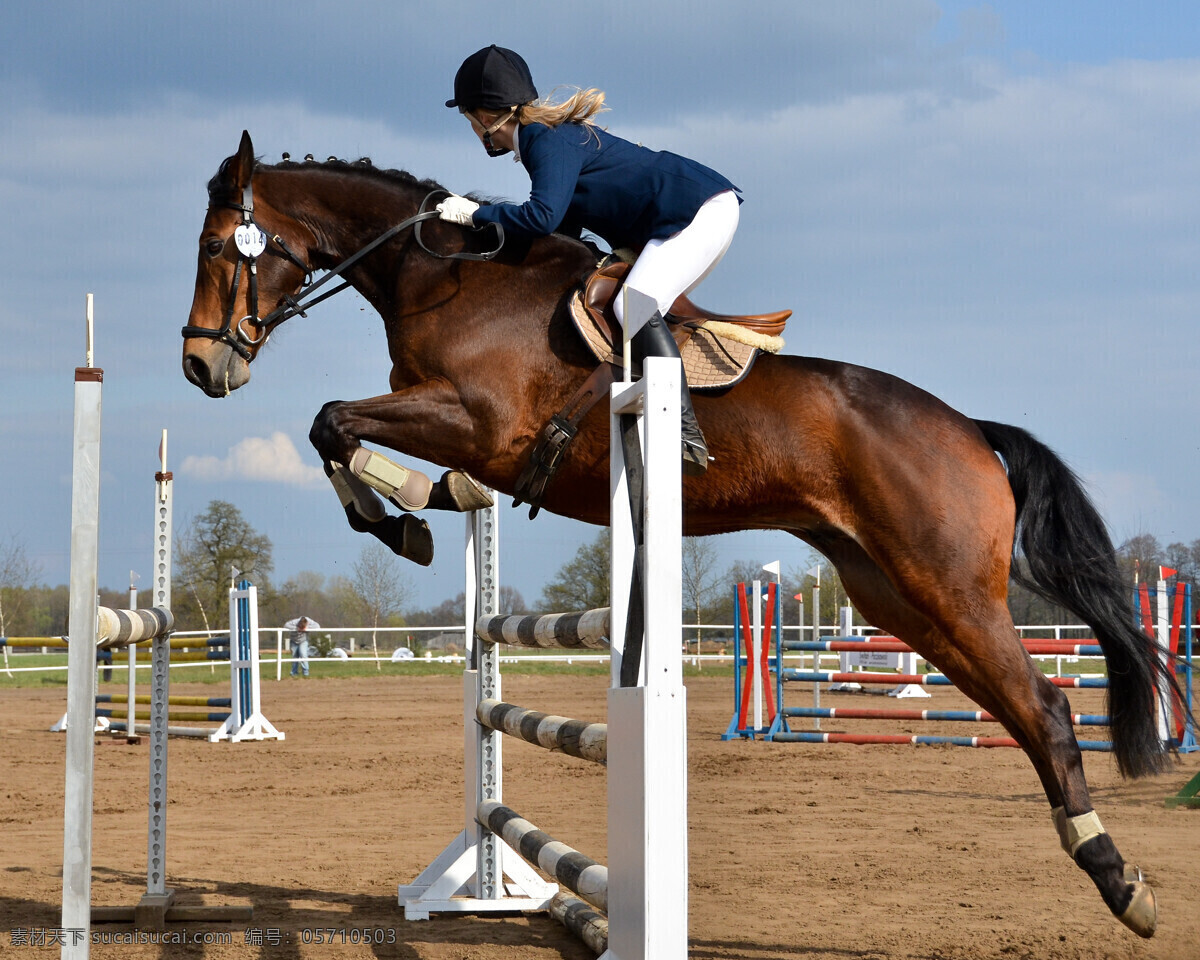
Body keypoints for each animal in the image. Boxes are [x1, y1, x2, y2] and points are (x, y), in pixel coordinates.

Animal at [184, 131, 1180, 936]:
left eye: (215, 247)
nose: (200, 366)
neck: (445, 280)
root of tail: (971, 428)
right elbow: (337, 430)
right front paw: (416, 512)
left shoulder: (478, 422)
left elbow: (332, 421)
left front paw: (400, 521)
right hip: (897, 597)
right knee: (1015, 709)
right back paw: (1105, 866)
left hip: (947, 586)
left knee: (1046, 709)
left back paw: (1120, 883)